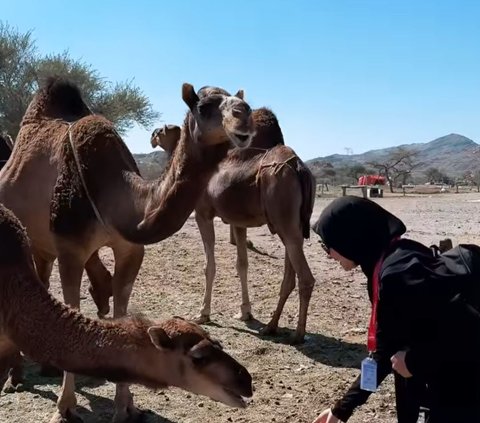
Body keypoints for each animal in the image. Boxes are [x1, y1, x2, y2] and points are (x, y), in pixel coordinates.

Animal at [151, 102, 316, 344]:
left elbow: (209, 265)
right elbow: (242, 264)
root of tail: (299, 168)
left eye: (161, 131)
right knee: (289, 277)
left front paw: (203, 313)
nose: (152, 136)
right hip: (295, 226)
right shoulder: (238, 221)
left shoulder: (203, 213)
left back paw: (298, 334)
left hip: (286, 222)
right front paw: (245, 312)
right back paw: (270, 326)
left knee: (305, 278)